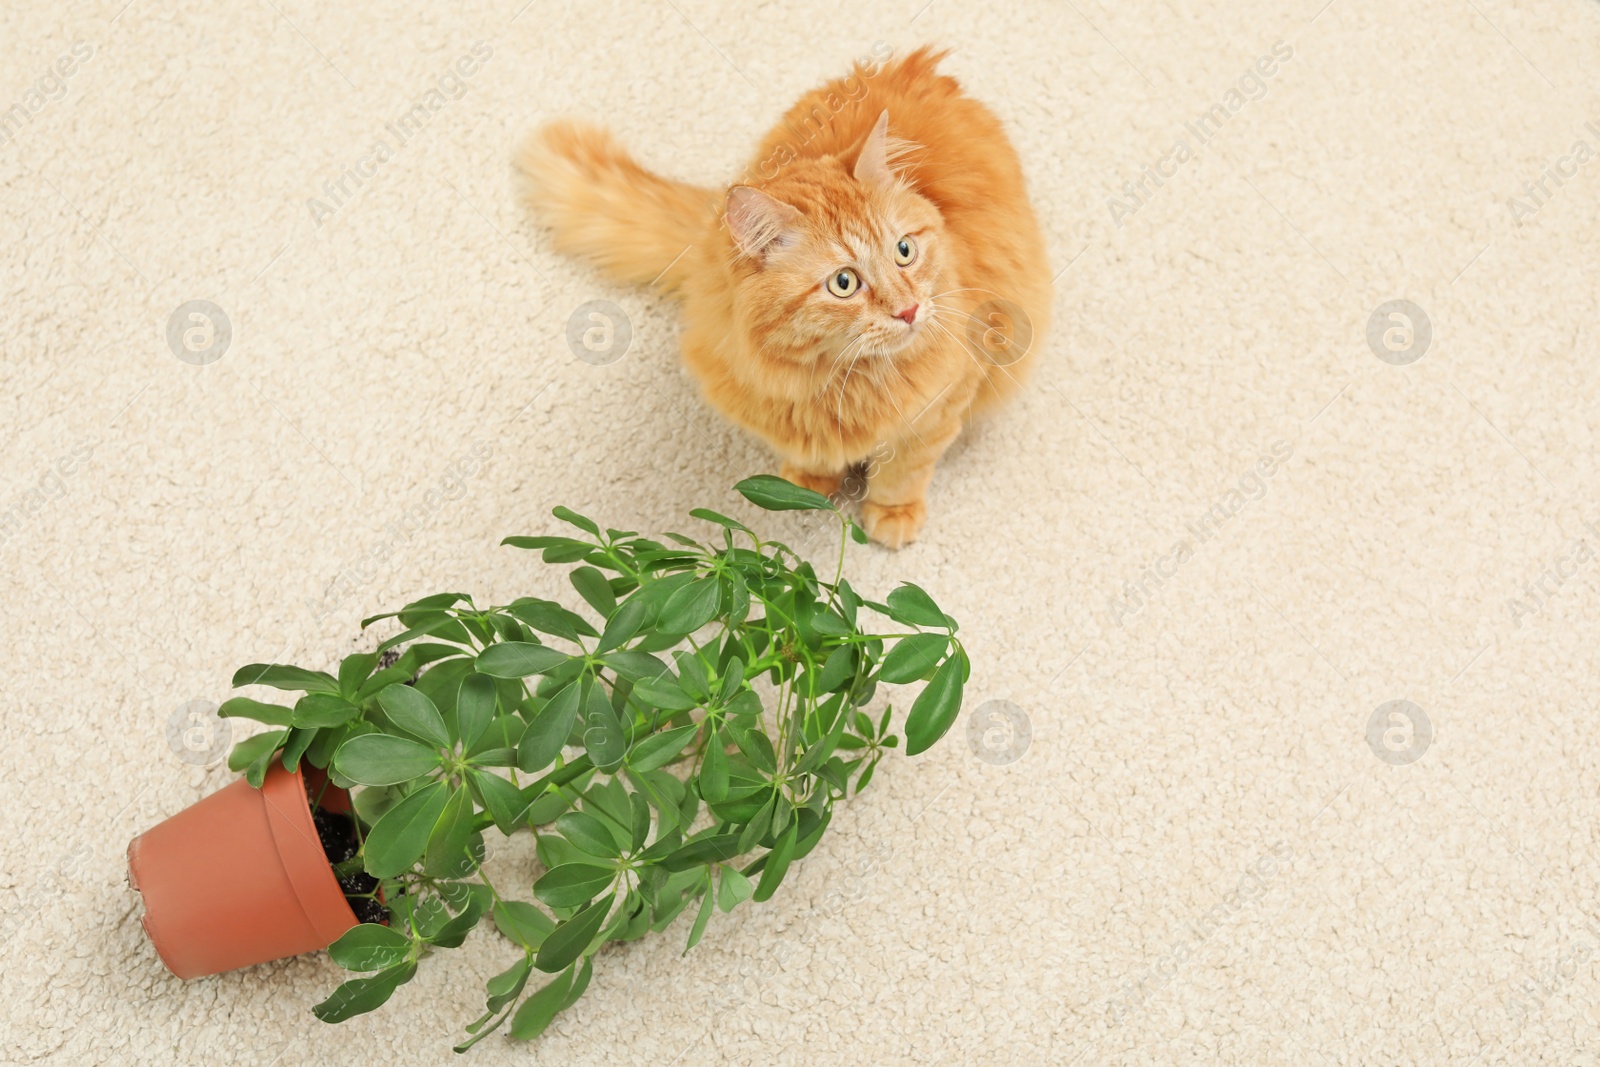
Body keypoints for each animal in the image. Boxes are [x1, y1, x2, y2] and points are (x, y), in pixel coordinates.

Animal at [521, 47, 1049, 550]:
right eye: (844, 283)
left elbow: (904, 471)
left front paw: (893, 514)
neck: (838, 381)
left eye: (904, 251)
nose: (909, 310)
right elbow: (811, 455)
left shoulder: (942, 408)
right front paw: (806, 486)